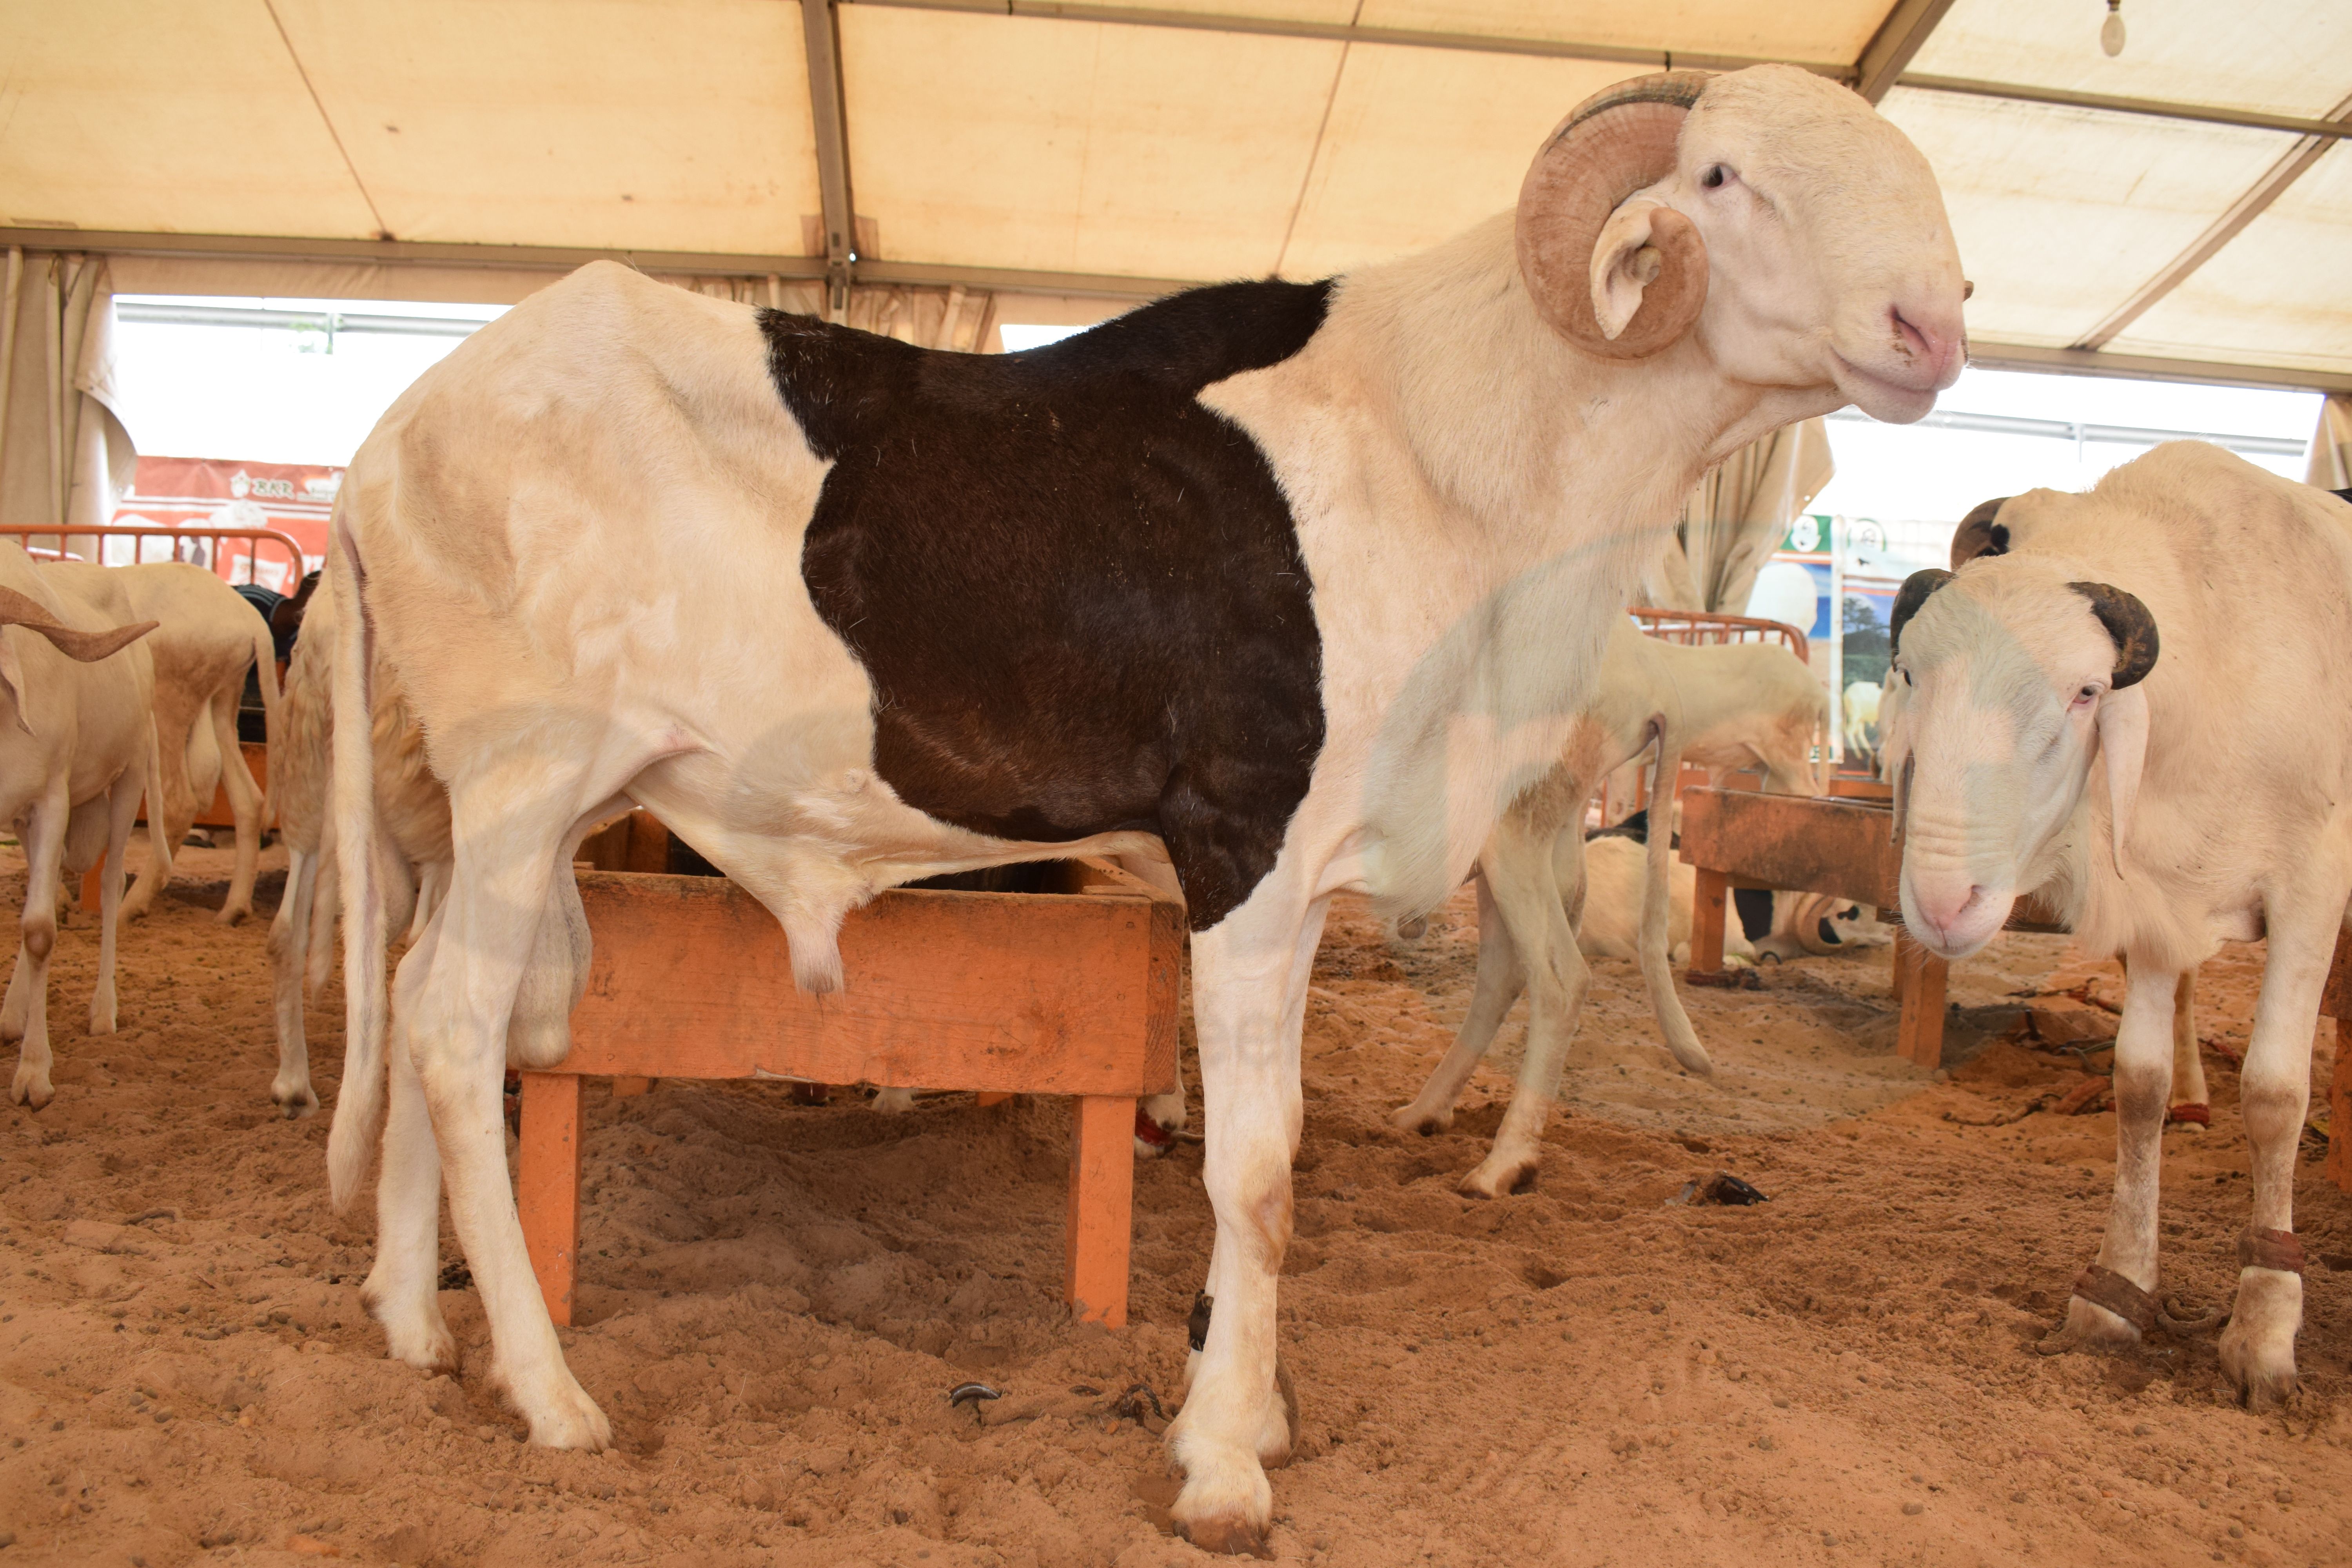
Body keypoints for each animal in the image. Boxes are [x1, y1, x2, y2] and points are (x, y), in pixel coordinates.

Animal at [323, 64, 1963, 1550]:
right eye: (1723, 177)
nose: (1932, 326)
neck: (1447, 458)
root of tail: (384, 446)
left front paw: (1241, 1406)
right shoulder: (1246, 843)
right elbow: (1260, 1169)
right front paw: (1228, 1462)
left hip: (469, 810)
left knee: (405, 992)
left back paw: (409, 1319)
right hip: (525, 781)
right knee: (454, 1033)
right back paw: (548, 1393)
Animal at [1884, 442, 2349, 1412]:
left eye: (2087, 692)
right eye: (1909, 672)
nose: (1942, 902)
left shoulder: (2312, 888)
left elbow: (2276, 1095)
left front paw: (2265, 1328)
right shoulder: (2156, 901)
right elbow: (2137, 1087)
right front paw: (2114, 1292)